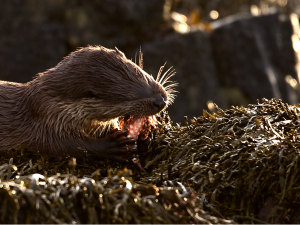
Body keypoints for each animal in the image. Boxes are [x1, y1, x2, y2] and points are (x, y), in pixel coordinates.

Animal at [0, 45, 176, 162]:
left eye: (141, 74)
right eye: (128, 97)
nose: (160, 101)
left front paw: (144, 139)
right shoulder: (46, 122)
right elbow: (68, 146)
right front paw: (110, 146)